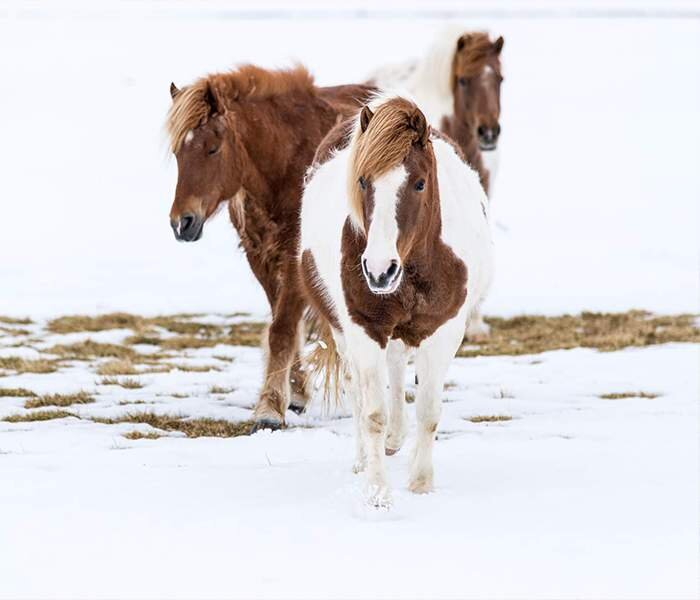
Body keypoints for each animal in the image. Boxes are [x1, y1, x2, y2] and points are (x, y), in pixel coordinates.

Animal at [165, 65, 372, 432]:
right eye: (178, 152)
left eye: (212, 148)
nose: (182, 223)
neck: (285, 163)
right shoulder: (259, 257)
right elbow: (284, 323)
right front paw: (294, 394)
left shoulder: (294, 258)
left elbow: (282, 328)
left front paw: (269, 411)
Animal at [300, 95, 492, 506]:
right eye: (362, 181)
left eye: (420, 183)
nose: (378, 270)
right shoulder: (364, 329)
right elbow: (371, 413)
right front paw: (377, 493)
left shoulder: (444, 332)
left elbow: (429, 410)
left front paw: (421, 484)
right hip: (344, 334)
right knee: (359, 392)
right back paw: (366, 457)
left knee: (398, 366)